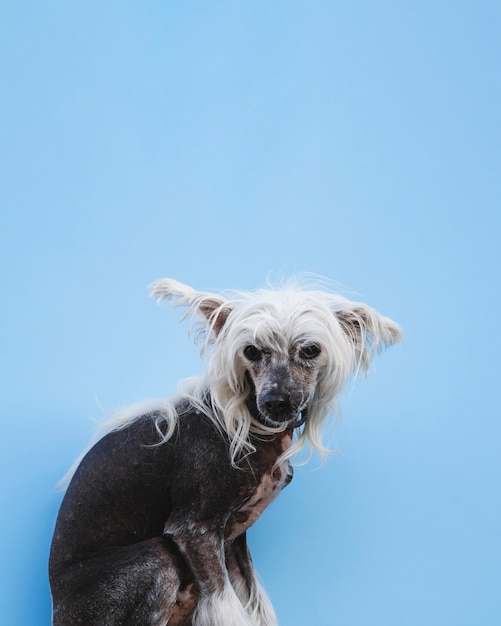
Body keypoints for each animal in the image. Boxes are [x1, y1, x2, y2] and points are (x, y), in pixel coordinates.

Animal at [49, 276, 402, 620]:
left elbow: (254, 605)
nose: (275, 401)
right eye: (252, 351)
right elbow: (226, 608)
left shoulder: (234, 543)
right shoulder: (195, 532)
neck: (255, 428)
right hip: (157, 557)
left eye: (311, 350)